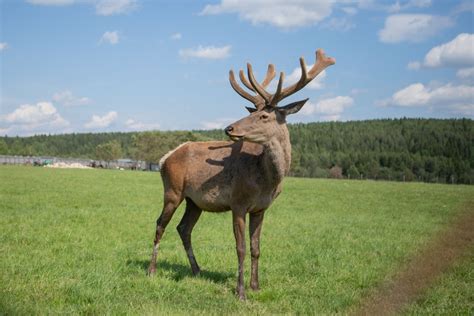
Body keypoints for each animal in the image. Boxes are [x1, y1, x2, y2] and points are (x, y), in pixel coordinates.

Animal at [146, 48, 336, 300]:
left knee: (183, 228)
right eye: (253, 112)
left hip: (194, 201)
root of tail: (164, 158)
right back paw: (151, 270)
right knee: (160, 224)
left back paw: (197, 270)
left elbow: (256, 248)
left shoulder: (261, 208)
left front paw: (256, 286)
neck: (267, 181)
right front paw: (241, 292)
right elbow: (241, 248)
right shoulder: (237, 203)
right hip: (172, 190)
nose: (229, 128)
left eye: (264, 116)